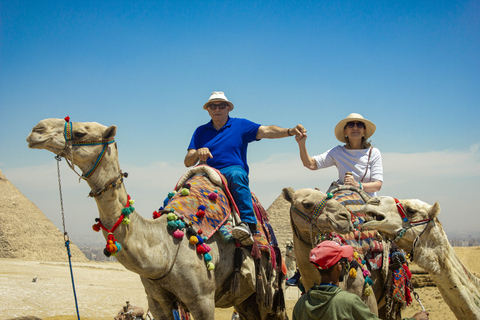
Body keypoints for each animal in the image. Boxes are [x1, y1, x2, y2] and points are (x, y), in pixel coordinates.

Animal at [26, 118, 286, 320]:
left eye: (81, 133)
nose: (37, 130)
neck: (166, 247)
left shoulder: (202, 300)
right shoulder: (157, 301)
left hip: (269, 292)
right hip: (245, 298)